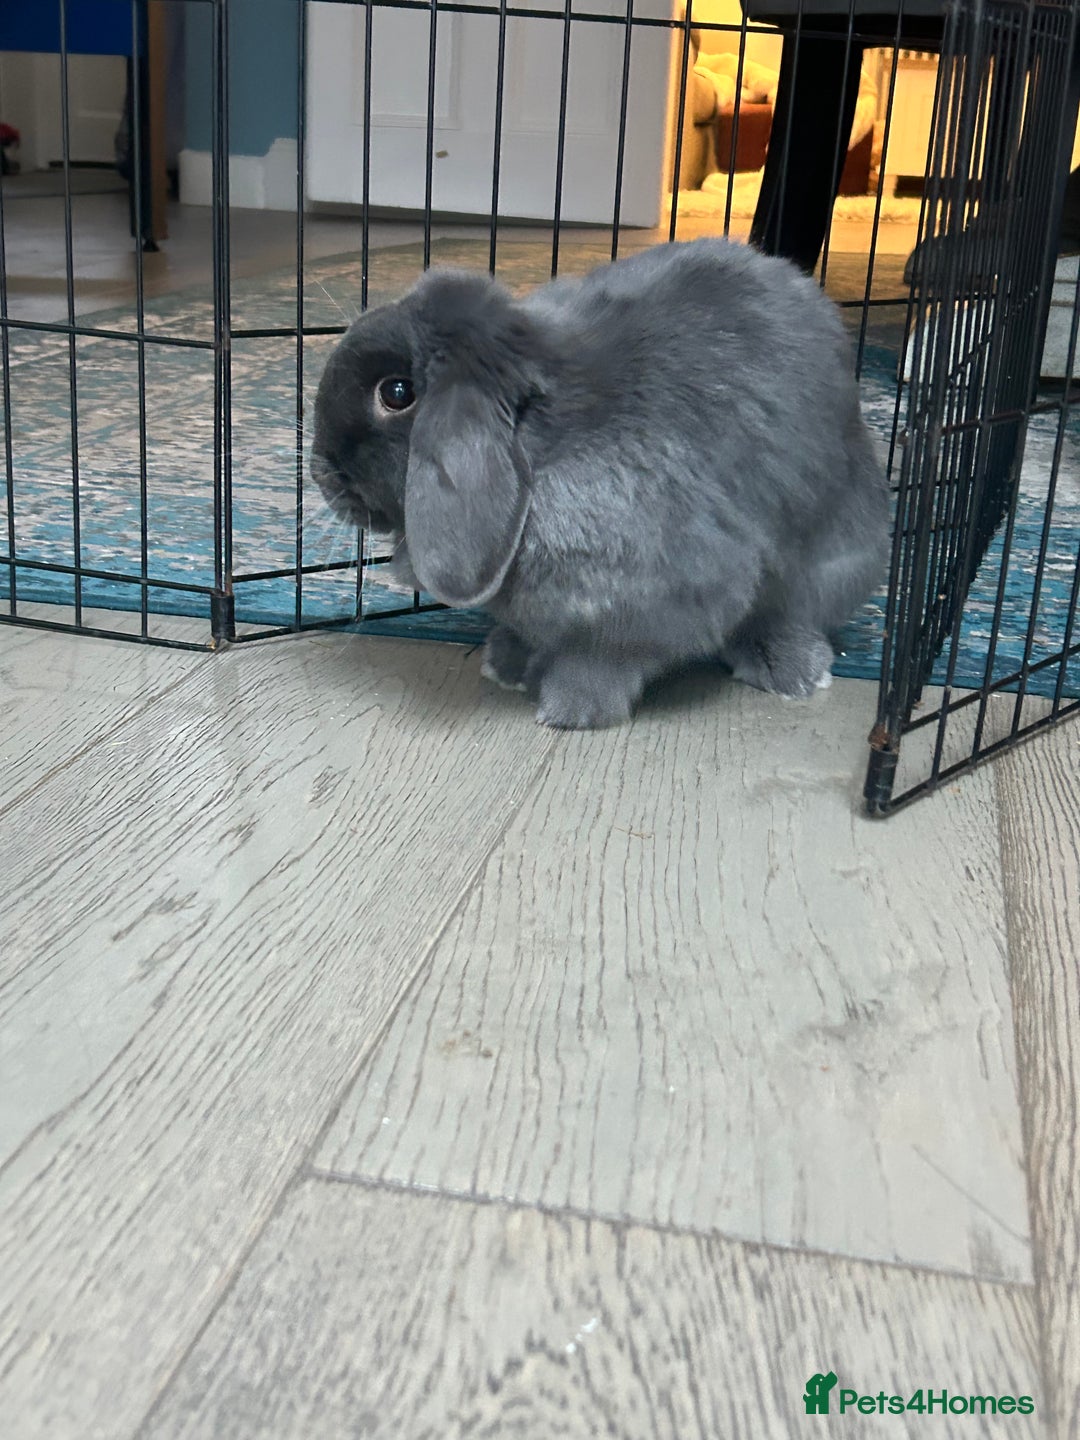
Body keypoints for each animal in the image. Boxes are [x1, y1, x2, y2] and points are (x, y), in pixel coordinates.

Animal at [311, 237, 889, 729]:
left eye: (397, 393)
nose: (319, 472)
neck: (545, 452)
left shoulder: (655, 600)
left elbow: (602, 660)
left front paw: (569, 710)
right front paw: (507, 663)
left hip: (833, 559)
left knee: (792, 614)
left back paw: (791, 672)